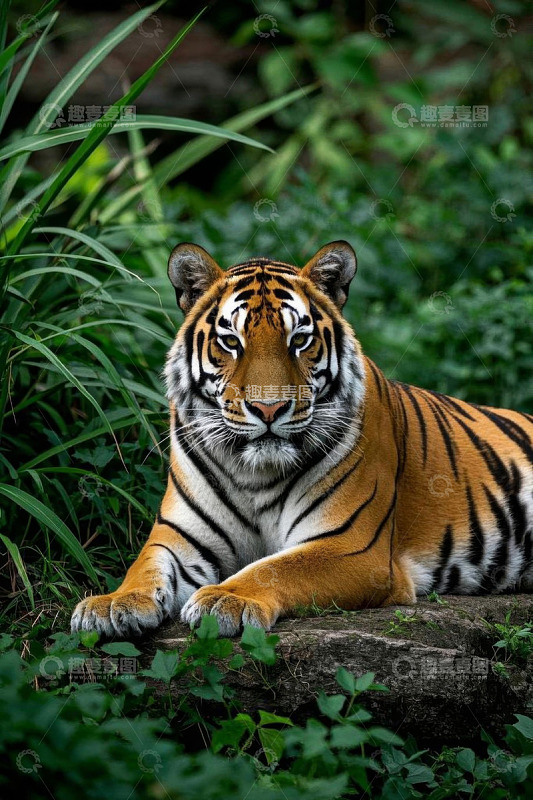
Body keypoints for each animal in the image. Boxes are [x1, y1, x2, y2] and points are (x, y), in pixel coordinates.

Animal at [71, 241, 533, 638]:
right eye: (231, 341)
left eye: (299, 340)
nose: (269, 409)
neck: (253, 472)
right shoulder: (178, 536)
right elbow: (144, 566)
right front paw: (112, 604)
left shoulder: (351, 546)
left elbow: (275, 568)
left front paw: (224, 599)